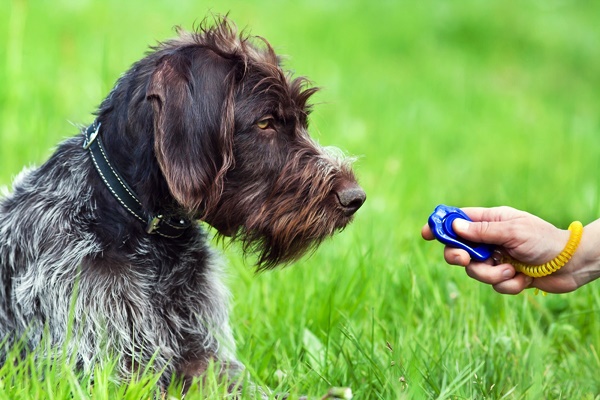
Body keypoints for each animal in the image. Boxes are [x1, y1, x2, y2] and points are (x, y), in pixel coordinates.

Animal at [0, 16, 366, 394]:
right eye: (266, 122)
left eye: (302, 122)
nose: (355, 197)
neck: (147, 237)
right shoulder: (104, 370)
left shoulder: (203, 355)